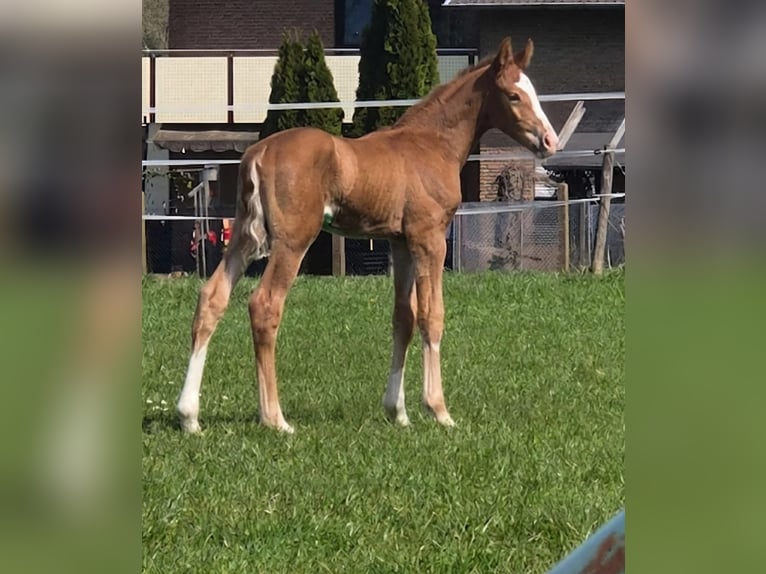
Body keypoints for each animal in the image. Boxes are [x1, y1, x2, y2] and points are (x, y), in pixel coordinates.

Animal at [176, 37, 558, 434]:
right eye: (513, 95)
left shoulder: (401, 243)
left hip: (243, 237)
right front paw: (439, 410)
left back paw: (189, 416)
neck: (432, 144)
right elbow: (431, 315)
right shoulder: (430, 239)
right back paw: (275, 418)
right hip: (293, 240)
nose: (550, 140)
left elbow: (404, 317)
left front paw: (398, 411)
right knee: (265, 305)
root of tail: (260, 150)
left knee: (212, 298)